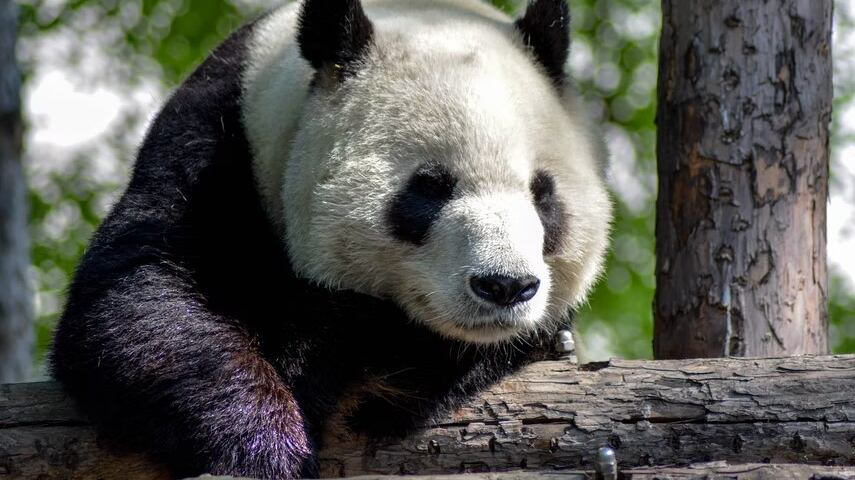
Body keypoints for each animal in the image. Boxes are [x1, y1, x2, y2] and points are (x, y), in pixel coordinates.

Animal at [50, 0, 612, 478]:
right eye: (429, 188)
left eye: (542, 193)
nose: (505, 286)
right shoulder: (214, 143)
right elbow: (137, 302)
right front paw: (267, 449)